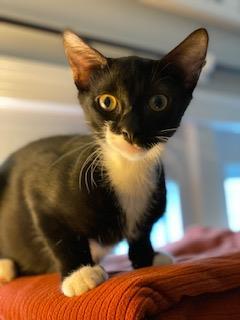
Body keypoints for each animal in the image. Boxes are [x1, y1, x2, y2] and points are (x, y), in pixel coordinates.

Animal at [0, 28, 208, 296]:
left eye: (158, 102)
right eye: (107, 101)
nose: (131, 131)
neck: (127, 168)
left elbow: (143, 230)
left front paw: (147, 257)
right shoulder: (38, 193)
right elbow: (60, 237)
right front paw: (79, 274)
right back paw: (5, 266)